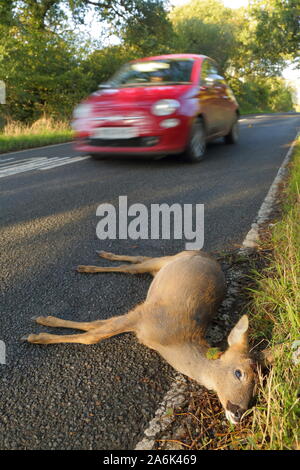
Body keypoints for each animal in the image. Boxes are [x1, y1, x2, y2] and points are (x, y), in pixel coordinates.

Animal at [21, 250, 255, 426]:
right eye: (239, 373)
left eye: (258, 383)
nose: (240, 413)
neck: (170, 342)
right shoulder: (141, 314)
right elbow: (93, 335)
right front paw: (38, 333)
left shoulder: (138, 318)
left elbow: (95, 326)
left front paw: (42, 325)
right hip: (165, 263)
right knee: (134, 265)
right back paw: (90, 265)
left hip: (160, 268)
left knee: (139, 260)